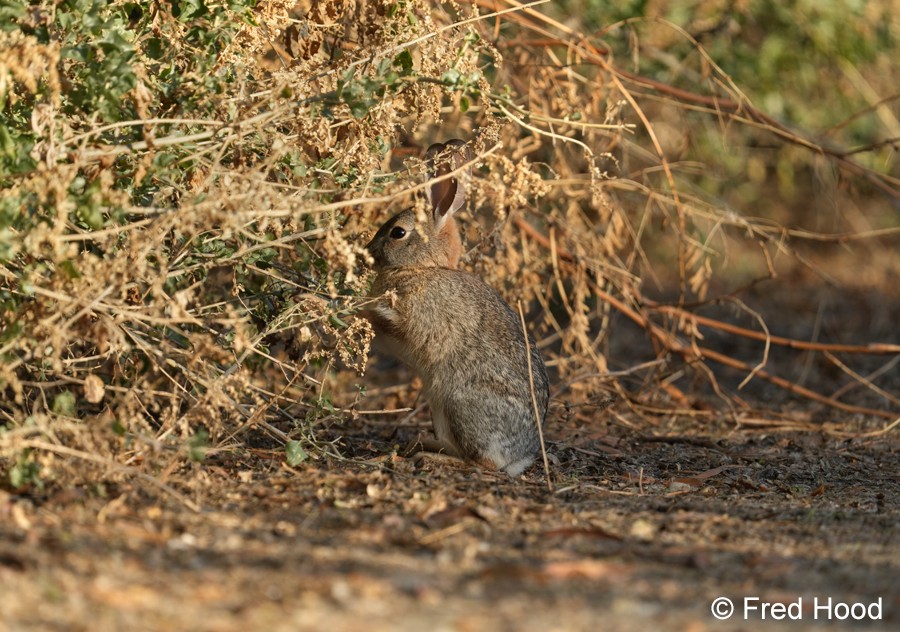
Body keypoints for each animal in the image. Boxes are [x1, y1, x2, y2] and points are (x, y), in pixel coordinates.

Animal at [364, 139, 548, 474]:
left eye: (398, 232)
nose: (367, 253)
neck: (424, 267)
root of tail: (520, 457)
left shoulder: (412, 318)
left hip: (459, 404)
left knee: (481, 462)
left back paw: (427, 457)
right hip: (440, 408)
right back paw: (418, 445)